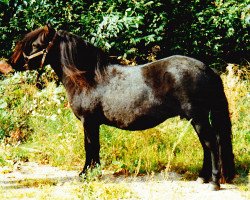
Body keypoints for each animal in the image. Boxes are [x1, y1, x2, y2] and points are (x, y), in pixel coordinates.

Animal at [11, 25, 234, 191]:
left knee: (212, 144)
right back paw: (202, 178)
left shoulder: (89, 122)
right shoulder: (92, 124)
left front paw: (87, 174)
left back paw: (214, 182)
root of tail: (206, 69)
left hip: (198, 118)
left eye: (35, 44)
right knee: (206, 145)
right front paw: (93, 172)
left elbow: (90, 147)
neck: (88, 78)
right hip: (196, 119)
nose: (12, 63)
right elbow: (94, 147)